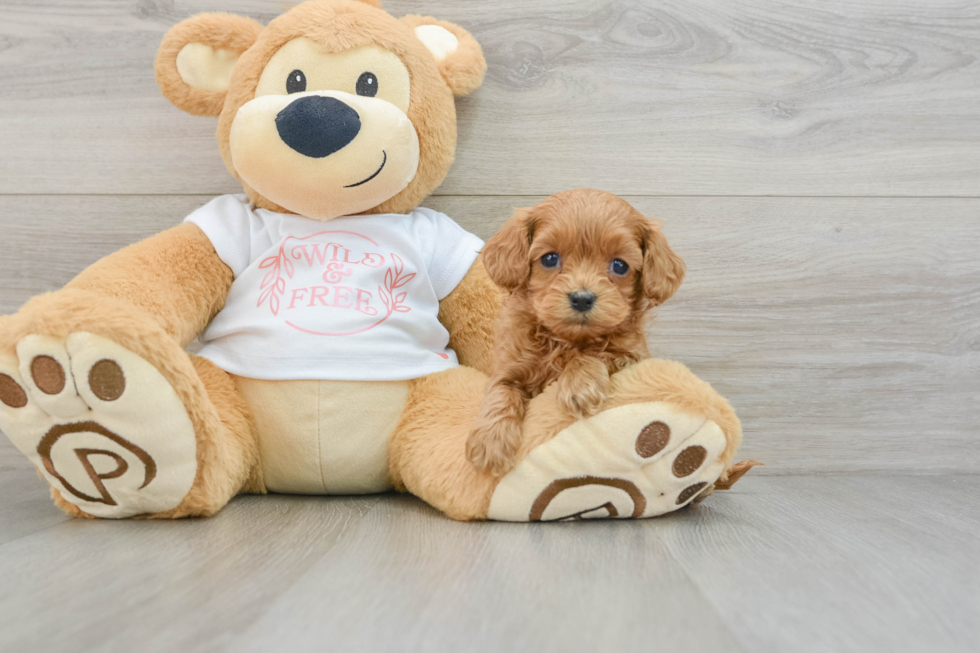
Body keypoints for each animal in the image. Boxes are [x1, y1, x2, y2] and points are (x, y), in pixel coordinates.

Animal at [466, 188, 680, 474]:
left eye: (620, 265)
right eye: (549, 258)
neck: (565, 339)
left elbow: (594, 355)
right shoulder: (506, 368)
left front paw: (580, 386)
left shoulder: (633, 357)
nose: (582, 299)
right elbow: (500, 392)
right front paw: (490, 442)